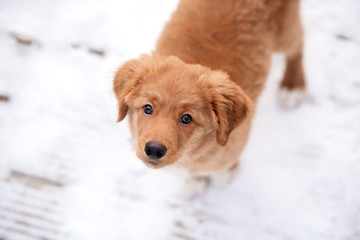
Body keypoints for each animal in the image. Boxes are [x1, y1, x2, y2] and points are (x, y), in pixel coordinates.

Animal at [114, 0, 306, 198]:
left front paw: (224, 175)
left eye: (186, 118)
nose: (153, 149)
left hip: (285, 32)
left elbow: (222, 168)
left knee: (298, 43)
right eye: (148, 108)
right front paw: (193, 182)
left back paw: (292, 86)